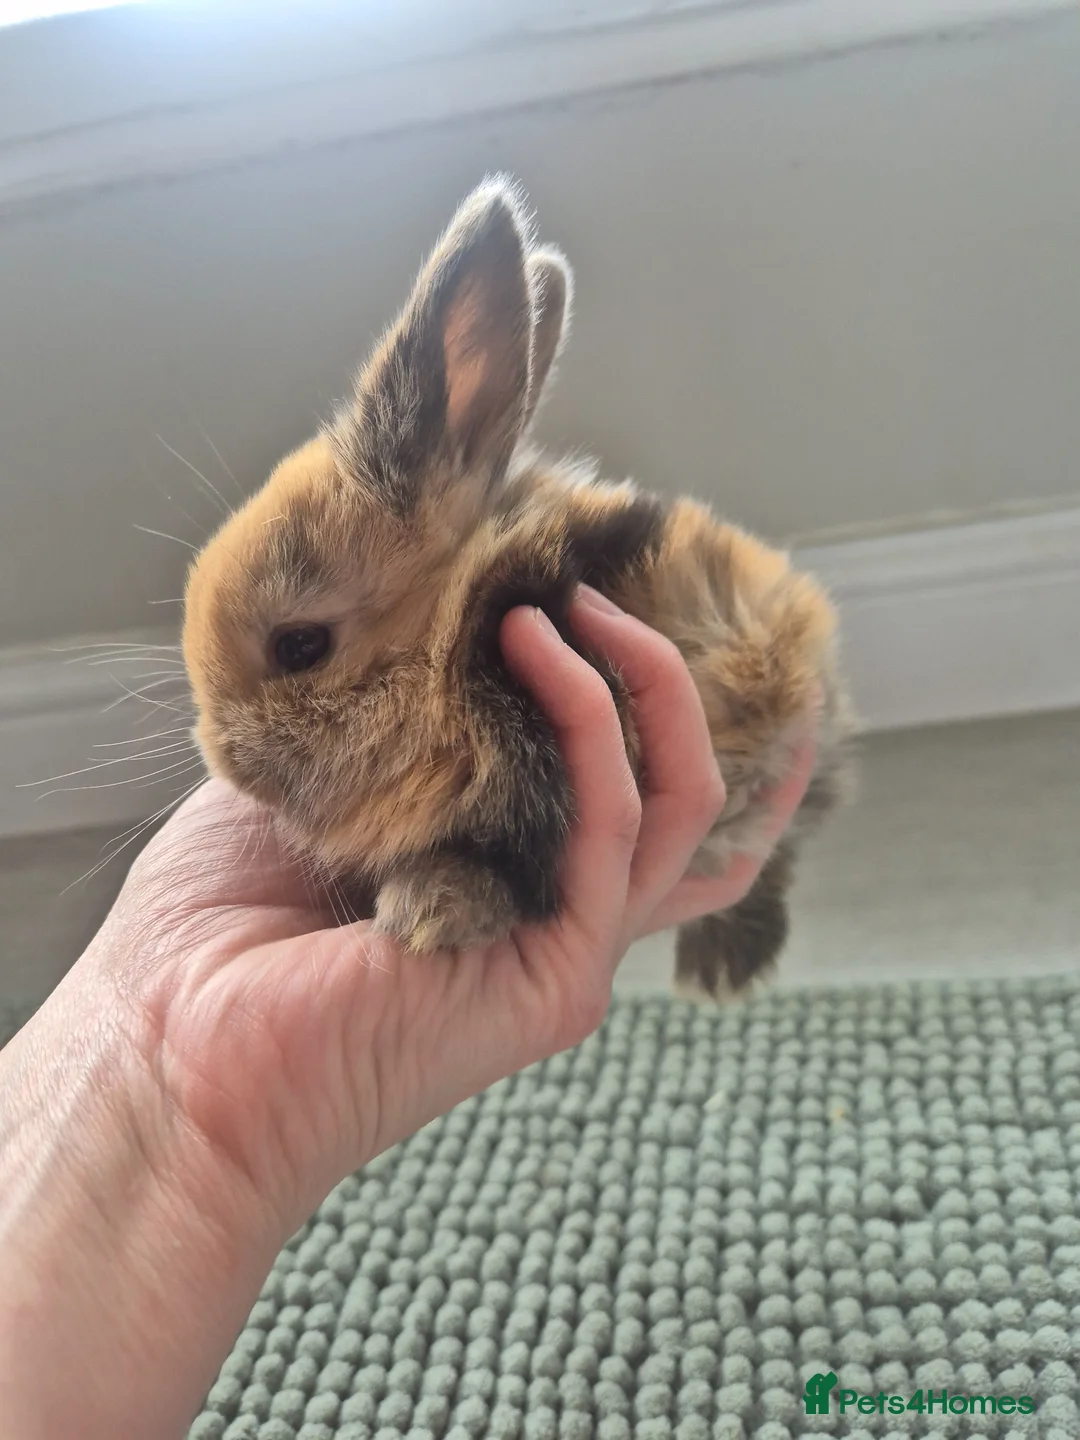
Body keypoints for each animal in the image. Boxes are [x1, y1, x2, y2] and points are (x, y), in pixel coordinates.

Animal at [182, 176, 854, 1001]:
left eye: (301, 645)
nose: (222, 757)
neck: (442, 655)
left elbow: (507, 862)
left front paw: (428, 910)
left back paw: (722, 965)